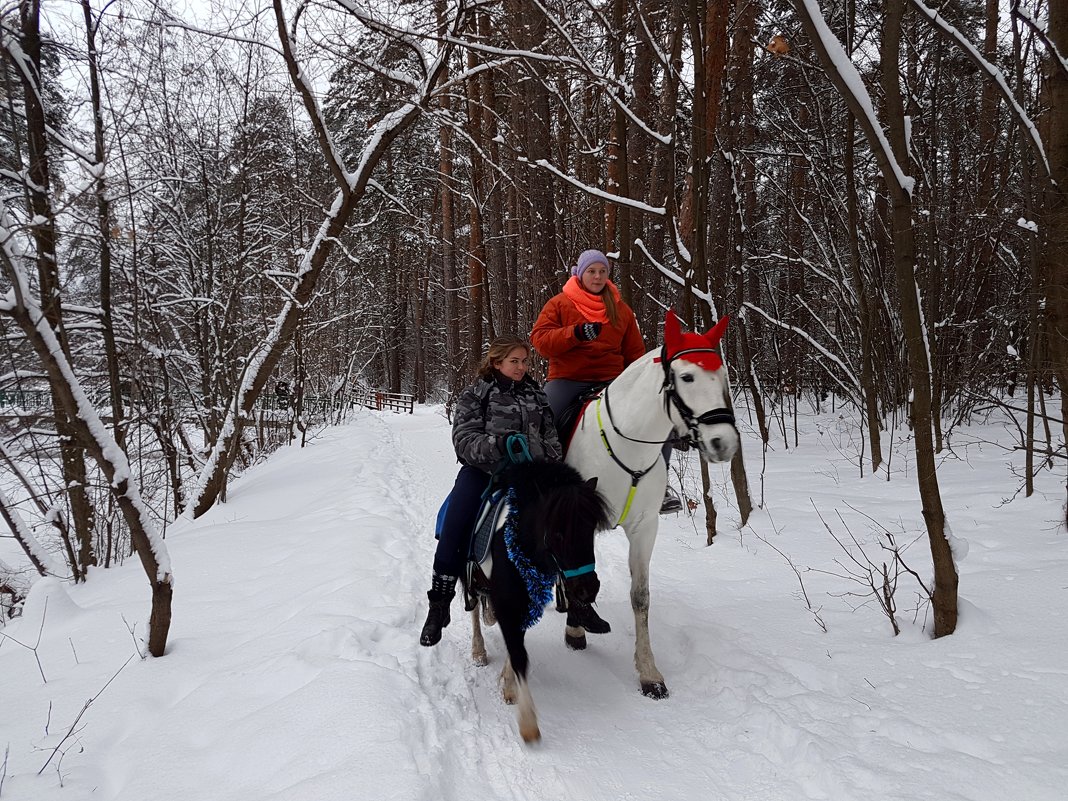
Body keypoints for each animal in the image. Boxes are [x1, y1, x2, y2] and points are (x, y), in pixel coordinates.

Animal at [465, 461, 610, 743]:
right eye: (557, 533)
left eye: (591, 529)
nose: (587, 589)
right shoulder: (508, 604)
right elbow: (519, 654)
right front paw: (528, 725)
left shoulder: (524, 603)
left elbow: (517, 645)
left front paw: (508, 685)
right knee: (474, 609)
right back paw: (478, 651)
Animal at [563, 309, 739, 700]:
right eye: (687, 376)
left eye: (722, 376)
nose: (723, 442)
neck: (624, 445)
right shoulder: (580, 523)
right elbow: (577, 575)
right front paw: (577, 629)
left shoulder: (645, 527)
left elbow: (640, 597)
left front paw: (649, 673)